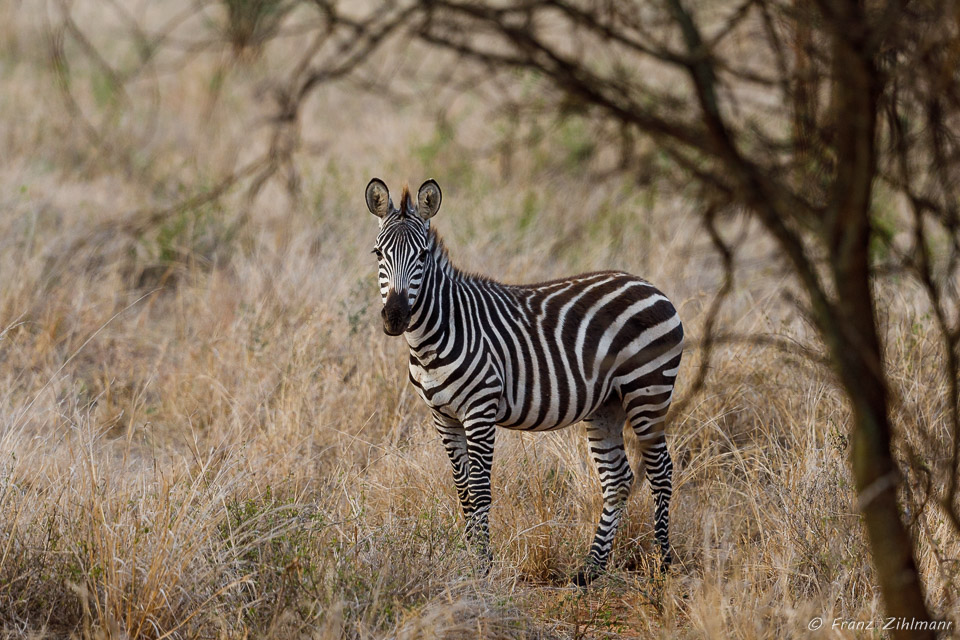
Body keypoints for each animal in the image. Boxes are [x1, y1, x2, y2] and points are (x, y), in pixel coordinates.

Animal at [364, 178, 688, 584]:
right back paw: (590, 570)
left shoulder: (480, 410)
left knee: (661, 471)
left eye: (422, 256)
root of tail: (649, 285)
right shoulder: (443, 416)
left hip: (648, 390)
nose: (395, 317)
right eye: (378, 253)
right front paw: (469, 561)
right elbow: (463, 492)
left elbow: (480, 491)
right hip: (606, 405)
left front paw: (481, 566)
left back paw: (663, 565)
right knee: (618, 480)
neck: (435, 335)